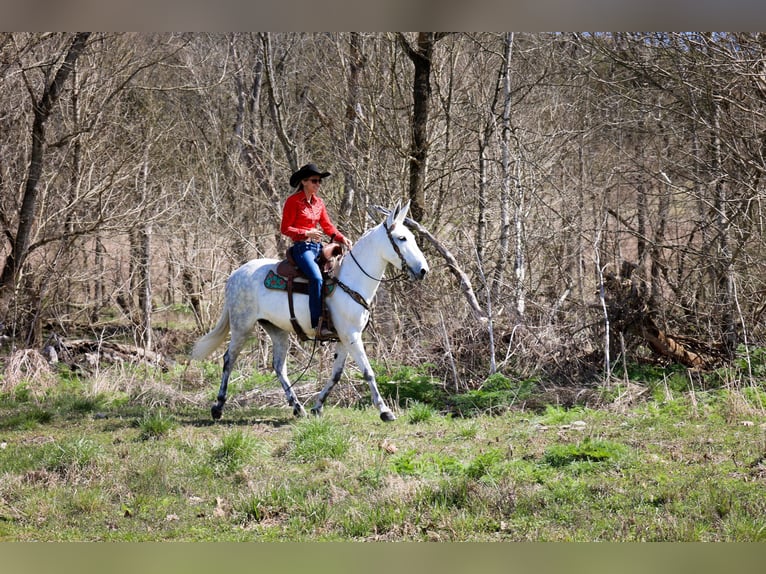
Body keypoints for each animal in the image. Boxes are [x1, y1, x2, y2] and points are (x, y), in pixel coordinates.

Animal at [190, 202, 432, 424]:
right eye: (401, 238)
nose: (423, 270)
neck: (351, 279)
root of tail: (235, 275)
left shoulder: (343, 338)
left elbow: (336, 375)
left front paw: (317, 406)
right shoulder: (352, 336)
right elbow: (368, 371)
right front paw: (385, 411)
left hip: (276, 330)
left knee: (279, 367)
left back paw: (298, 407)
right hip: (242, 326)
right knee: (229, 359)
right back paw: (218, 407)